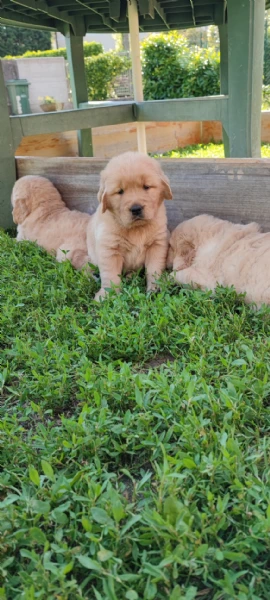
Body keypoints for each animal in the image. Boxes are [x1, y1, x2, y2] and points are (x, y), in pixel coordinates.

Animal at [86, 150, 172, 300]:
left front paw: (155, 288)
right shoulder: (109, 249)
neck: (136, 229)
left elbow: (154, 269)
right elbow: (110, 275)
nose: (136, 209)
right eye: (120, 191)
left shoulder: (157, 244)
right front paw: (107, 295)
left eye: (146, 186)